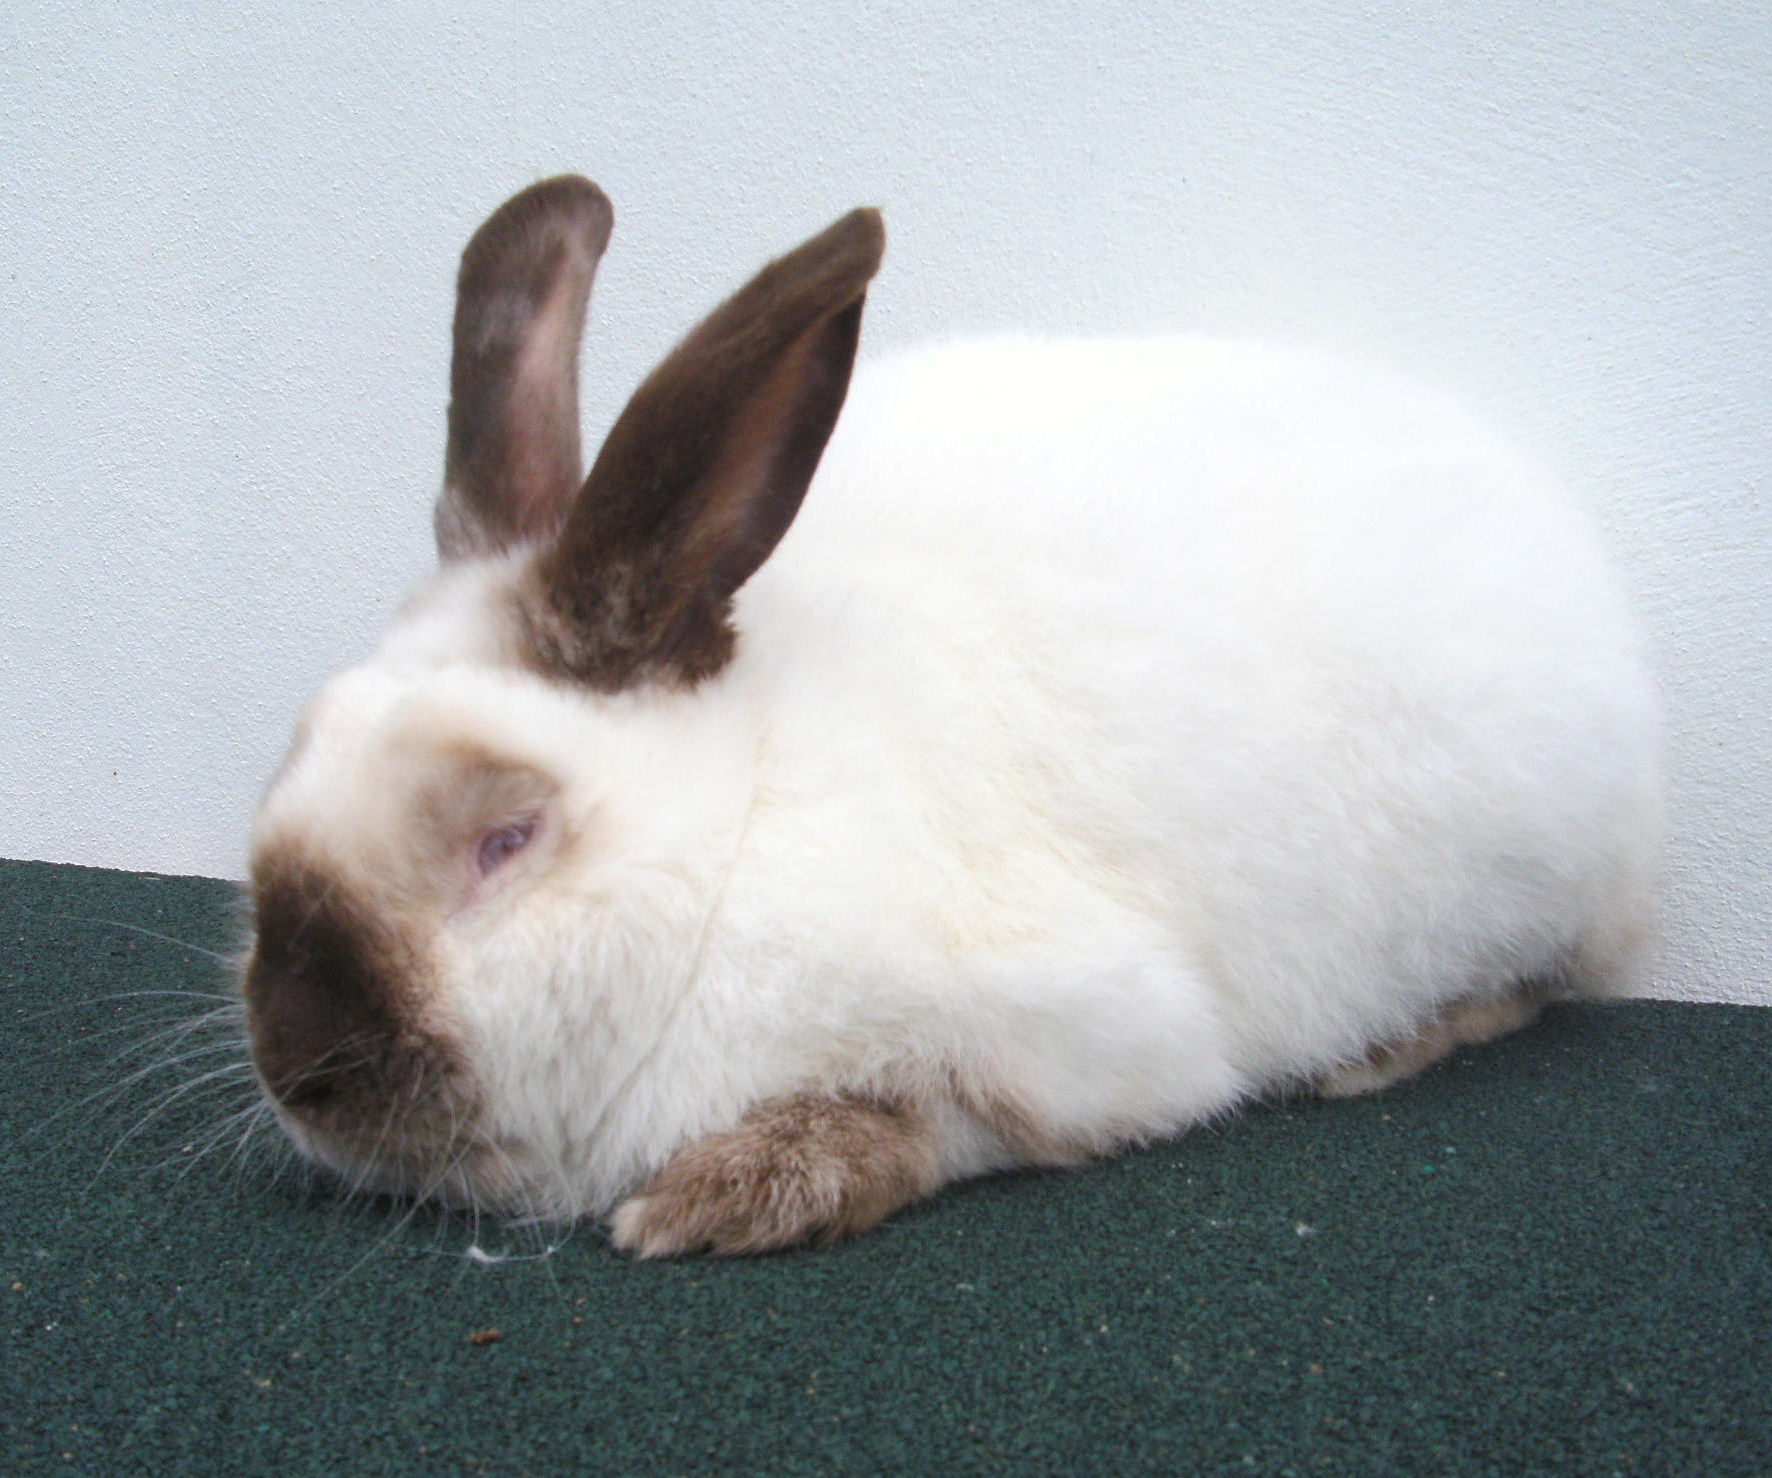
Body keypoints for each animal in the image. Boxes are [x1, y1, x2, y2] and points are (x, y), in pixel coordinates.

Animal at [241, 175, 1661, 1257]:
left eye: (506, 838)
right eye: (291, 762)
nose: (291, 1058)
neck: (738, 823)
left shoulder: (1083, 1039)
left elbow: (931, 1112)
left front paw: (723, 1193)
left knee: (1534, 983)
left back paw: (1377, 1053)